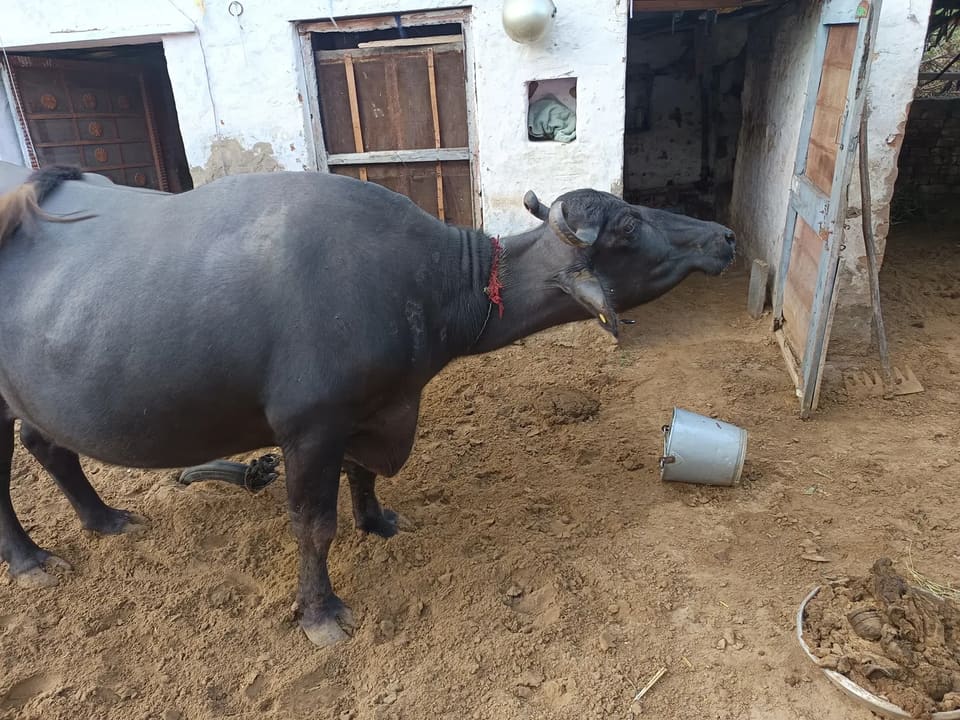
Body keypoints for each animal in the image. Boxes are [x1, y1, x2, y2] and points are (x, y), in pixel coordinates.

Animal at [0, 162, 734, 646]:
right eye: (631, 223)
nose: (723, 235)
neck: (422, 282)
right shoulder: (310, 428)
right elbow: (313, 526)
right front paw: (321, 613)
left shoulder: (376, 410)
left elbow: (365, 475)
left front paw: (377, 521)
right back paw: (31, 560)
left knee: (49, 446)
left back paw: (103, 519)